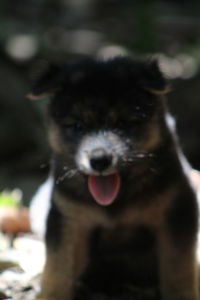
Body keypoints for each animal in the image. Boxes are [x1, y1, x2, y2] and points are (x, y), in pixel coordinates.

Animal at [28, 56, 199, 300]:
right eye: (78, 125)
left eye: (123, 124)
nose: (99, 161)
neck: (117, 201)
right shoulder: (68, 219)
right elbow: (58, 270)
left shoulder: (176, 211)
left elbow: (178, 269)